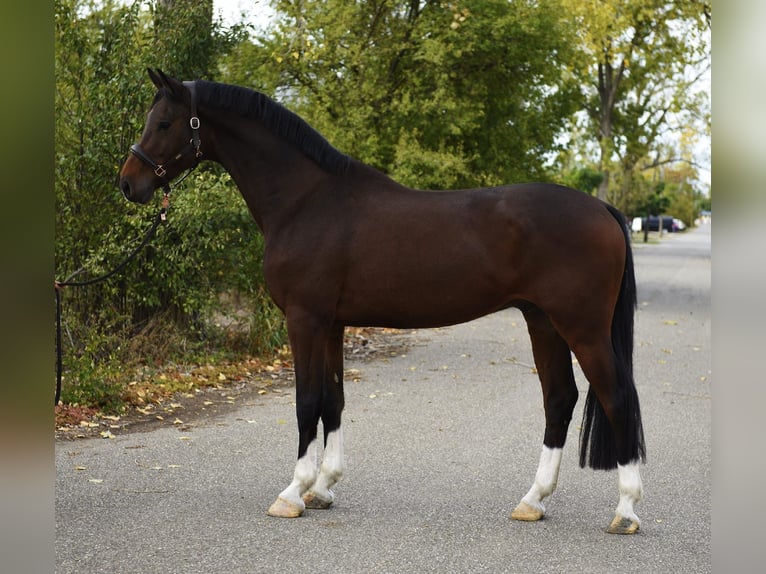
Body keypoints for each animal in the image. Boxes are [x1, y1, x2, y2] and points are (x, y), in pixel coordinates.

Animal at [119, 69, 646, 534]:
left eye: (164, 123)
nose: (128, 183)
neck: (307, 201)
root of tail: (603, 209)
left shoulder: (304, 319)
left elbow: (306, 401)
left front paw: (293, 492)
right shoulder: (332, 323)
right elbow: (333, 399)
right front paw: (323, 488)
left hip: (582, 327)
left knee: (617, 397)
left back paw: (625, 511)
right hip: (543, 322)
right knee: (559, 399)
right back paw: (533, 501)